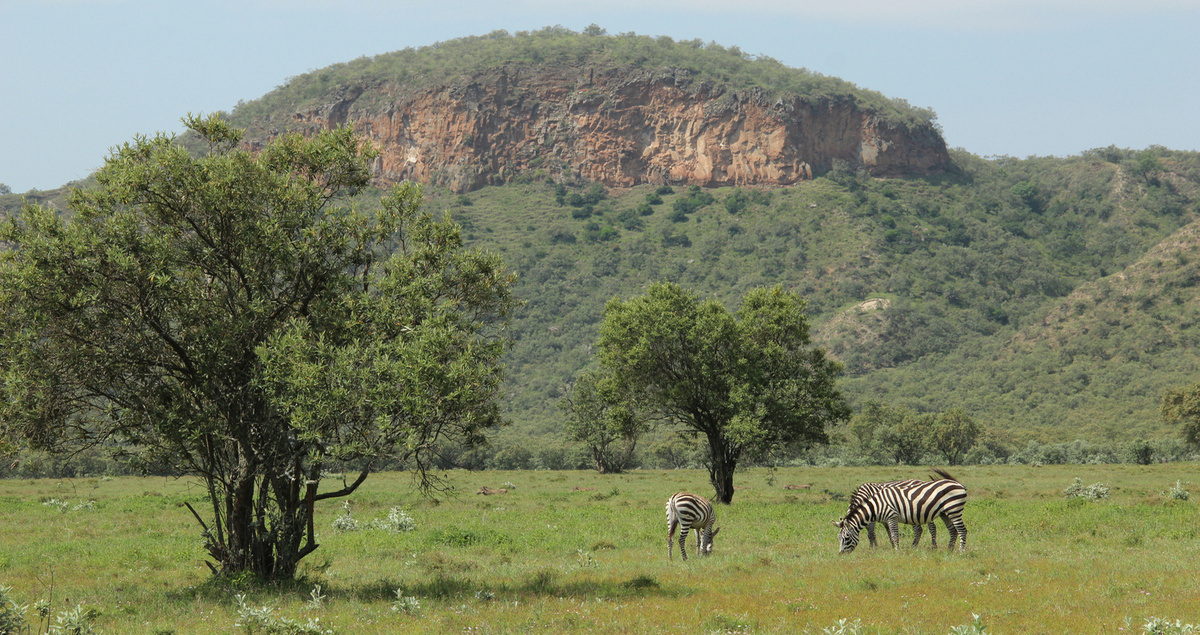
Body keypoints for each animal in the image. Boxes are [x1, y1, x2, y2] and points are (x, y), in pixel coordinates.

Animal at [840, 468, 969, 552]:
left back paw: (935, 547)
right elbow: (888, 533)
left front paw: (873, 548)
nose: (841, 555)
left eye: (846, 538)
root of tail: (921, 481)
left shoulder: (874, 518)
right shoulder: (884, 518)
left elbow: (871, 533)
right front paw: (891, 546)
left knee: (933, 528)